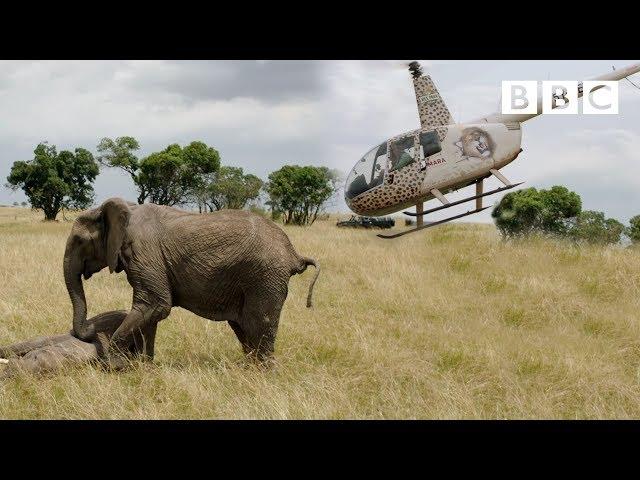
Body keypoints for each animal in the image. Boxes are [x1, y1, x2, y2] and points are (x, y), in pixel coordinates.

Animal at [63, 197, 318, 366]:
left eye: (80, 241)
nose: (91, 331)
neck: (126, 209)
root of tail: (294, 254)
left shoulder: (144, 253)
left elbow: (155, 304)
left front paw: (115, 367)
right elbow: (150, 312)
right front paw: (145, 367)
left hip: (266, 276)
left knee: (258, 322)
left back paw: (263, 373)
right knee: (243, 325)